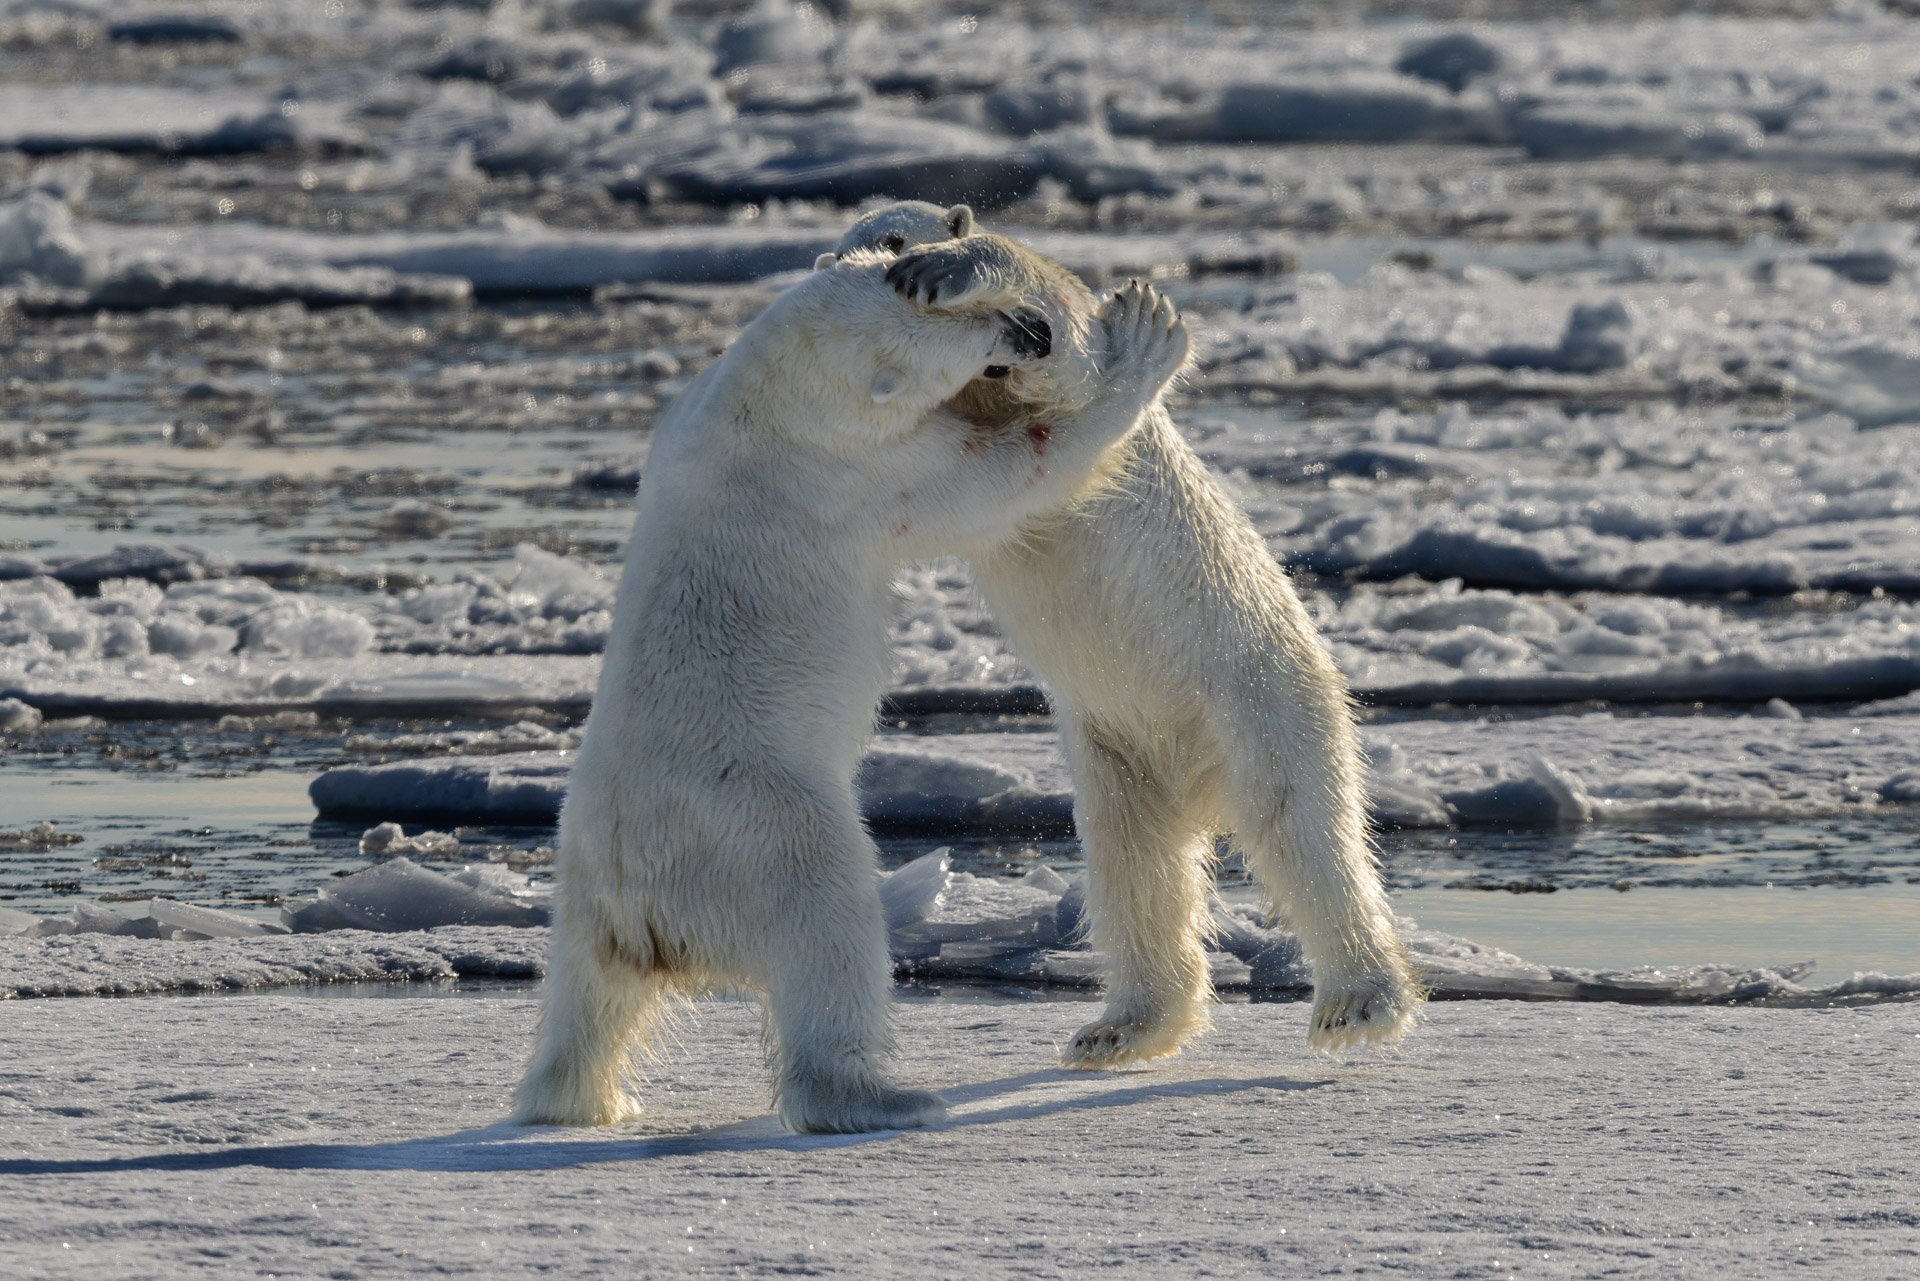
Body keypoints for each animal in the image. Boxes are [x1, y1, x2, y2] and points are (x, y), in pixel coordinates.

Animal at [513, 251, 1192, 1134]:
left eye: (927, 293)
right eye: (952, 335)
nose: (1028, 330)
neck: (760, 399)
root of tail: (638, 896)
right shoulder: (854, 475)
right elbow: (1009, 474)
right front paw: (1147, 342)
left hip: (580, 893)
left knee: (585, 1001)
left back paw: (585, 1096)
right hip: (752, 825)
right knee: (828, 920)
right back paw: (886, 1095)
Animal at [837, 203, 1424, 1066]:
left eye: (896, 237)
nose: (880, 267)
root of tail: (1199, 782)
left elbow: (1071, 354)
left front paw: (957, 274)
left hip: (1258, 692)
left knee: (1301, 826)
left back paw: (1358, 1004)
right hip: (1117, 749)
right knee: (1134, 867)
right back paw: (1121, 1026)